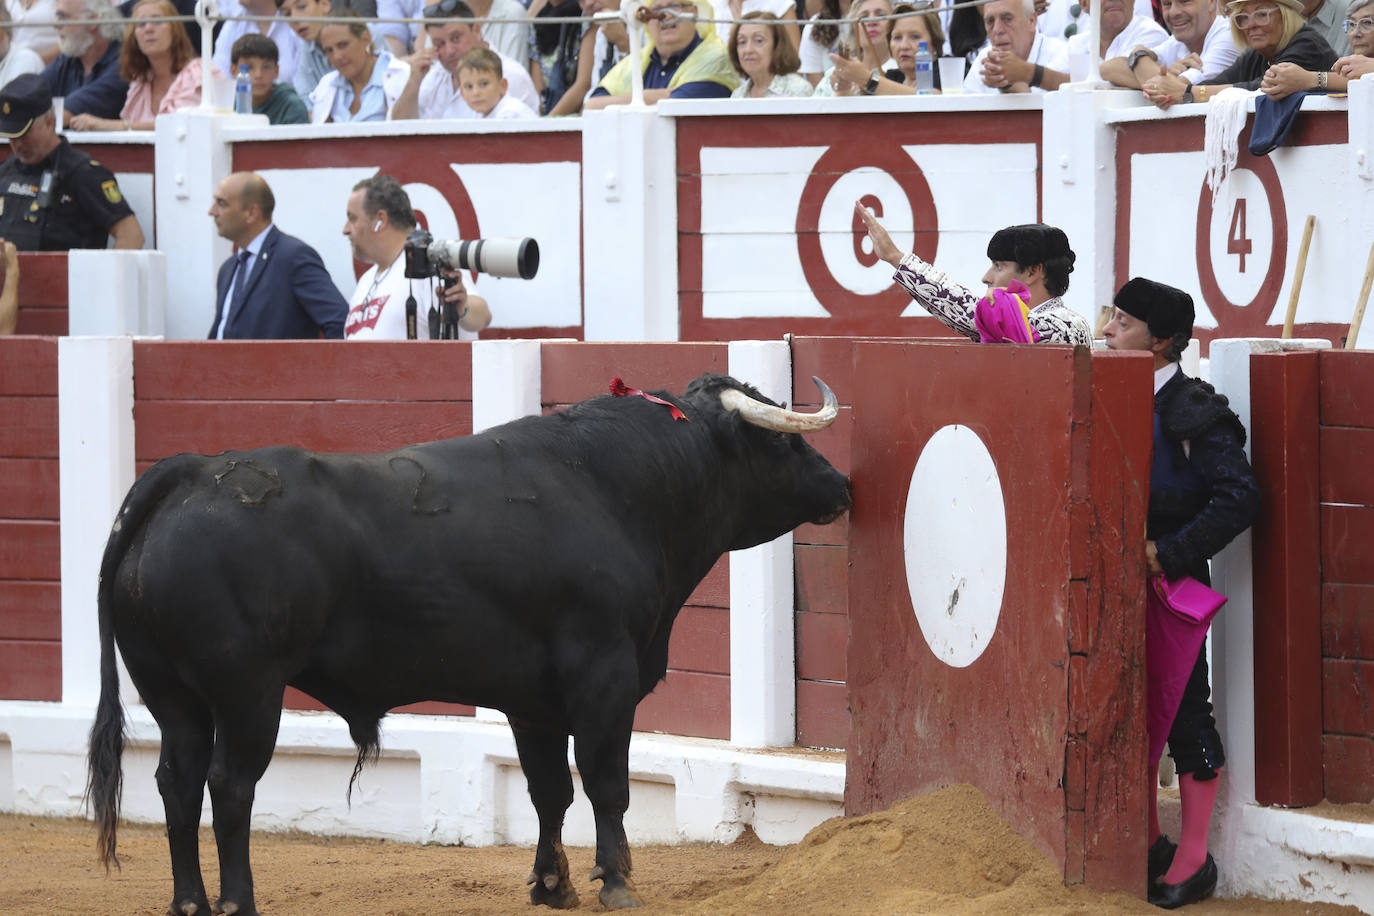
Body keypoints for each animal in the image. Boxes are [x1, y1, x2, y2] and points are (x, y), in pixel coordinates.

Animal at [85, 373, 846, 916]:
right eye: (784, 441)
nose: (841, 484)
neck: (617, 488)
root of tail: (187, 474)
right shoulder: (605, 676)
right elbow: (606, 781)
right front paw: (617, 882)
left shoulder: (534, 701)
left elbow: (548, 792)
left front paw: (551, 885)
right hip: (248, 692)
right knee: (230, 784)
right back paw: (237, 902)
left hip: (171, 693)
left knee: (177, 781)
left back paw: (189, 903)